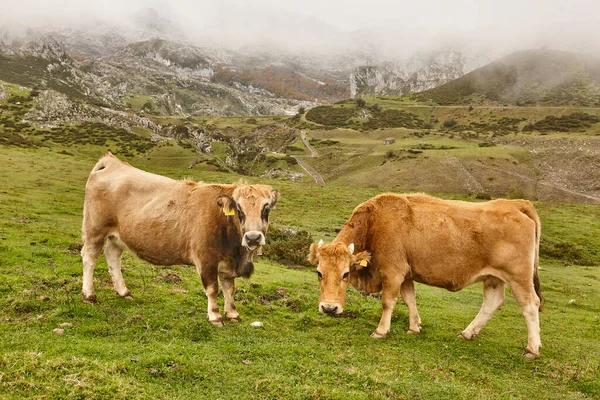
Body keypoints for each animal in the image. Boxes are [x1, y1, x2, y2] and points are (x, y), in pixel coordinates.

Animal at [81, 153, 280, 324]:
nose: (253, 238)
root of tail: (113, 162)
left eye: (266, 208)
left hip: (118, 235)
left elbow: (229, 287)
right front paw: (215, 316)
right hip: (95, 229)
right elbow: (213, 288)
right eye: (239, 209)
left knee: (112, 255)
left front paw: (232, 313)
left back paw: (123, 292)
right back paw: (89, 295)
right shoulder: (206, 259)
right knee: (89, 257)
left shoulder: (227, 262)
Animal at [310, 192, 544, 358]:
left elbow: (388, 302)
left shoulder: (393, 272)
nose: (329, 308)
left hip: (518, 277)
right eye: (319, 272)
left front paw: (381, 331)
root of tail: (516, 204)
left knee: (530, 304)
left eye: (346, 274)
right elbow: (409, 299)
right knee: (492, 302)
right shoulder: (406, 274)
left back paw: (532, 349)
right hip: (494, 278)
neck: (375, 222)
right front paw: (414, 327)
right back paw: (467, 333)